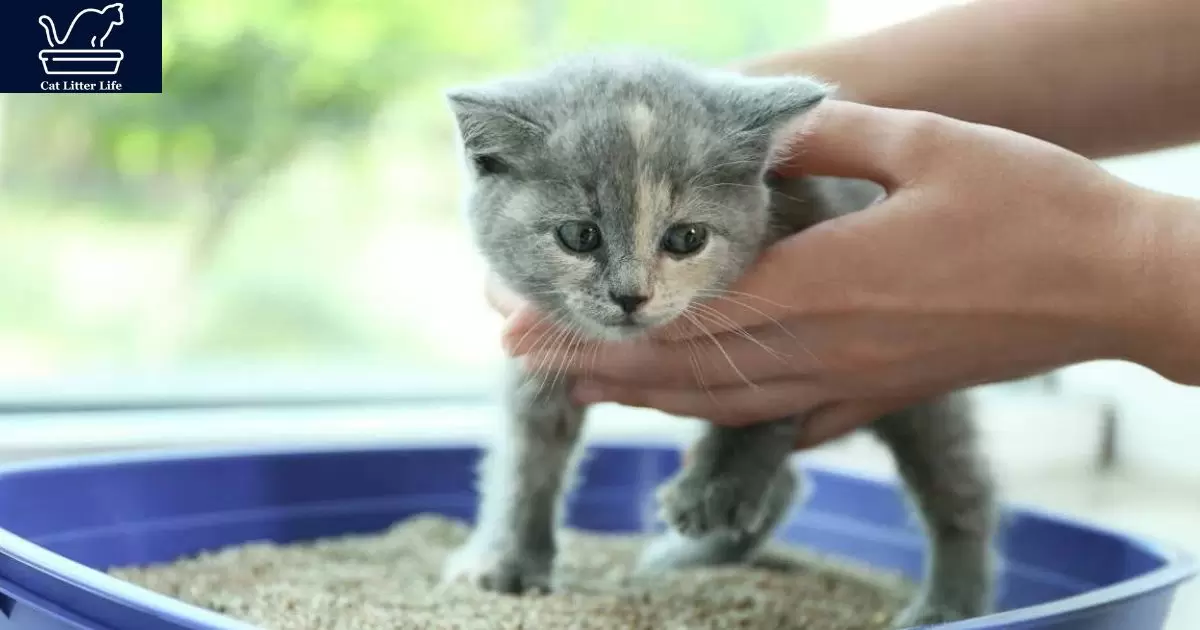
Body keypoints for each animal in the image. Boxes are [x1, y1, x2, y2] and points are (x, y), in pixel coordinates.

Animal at [439, 51, 993, 624]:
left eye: (686, 238)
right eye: (579, 235)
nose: (631, 295)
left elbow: (765, 402)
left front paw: (714, 485)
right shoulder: (540, 348)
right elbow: (526, 458)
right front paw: (506, 561)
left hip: (922, 388)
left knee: (961, 489)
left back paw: (950, 601)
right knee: (790, 484)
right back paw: (686, 559)